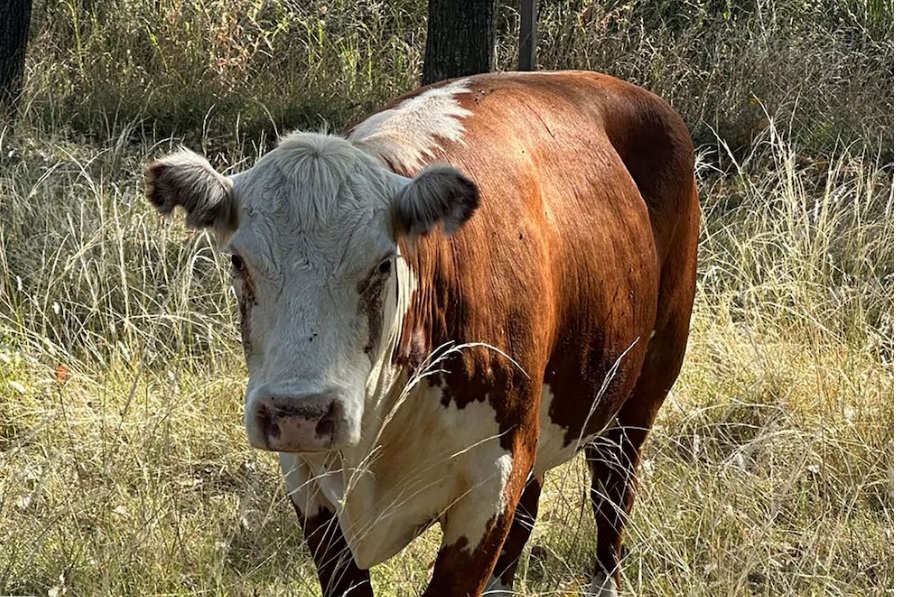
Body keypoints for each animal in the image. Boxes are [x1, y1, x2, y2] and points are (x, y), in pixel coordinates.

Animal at [147, 71, 700, 596]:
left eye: (382, 264)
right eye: (238, 261)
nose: (298, 413)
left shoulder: (491, 483)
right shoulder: (307, 483)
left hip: (642, 387)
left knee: (612, 491)